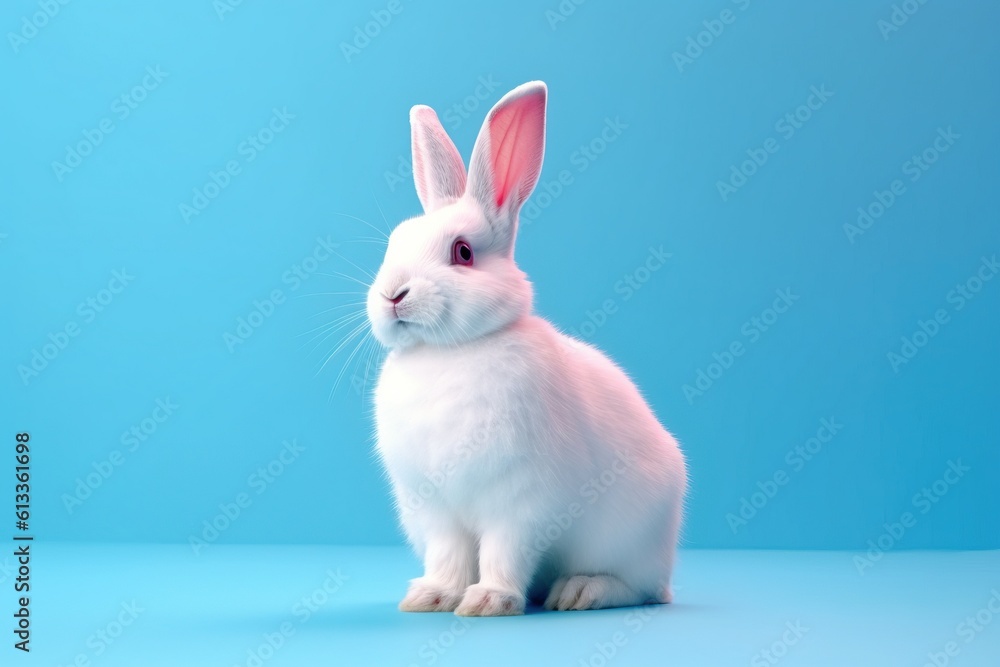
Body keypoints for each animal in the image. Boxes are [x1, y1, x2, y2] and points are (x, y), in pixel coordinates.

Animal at [366, 81, 687, 616]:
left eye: (462, 252)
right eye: (393, 244)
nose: (392, 295)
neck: (451, 350)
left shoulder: (520, 503)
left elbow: (504, 551)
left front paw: (487, 601)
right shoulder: (436, 509)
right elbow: (448, 555)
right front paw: (431, 596)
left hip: (631, 542)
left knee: (636, 588)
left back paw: (579, 591)